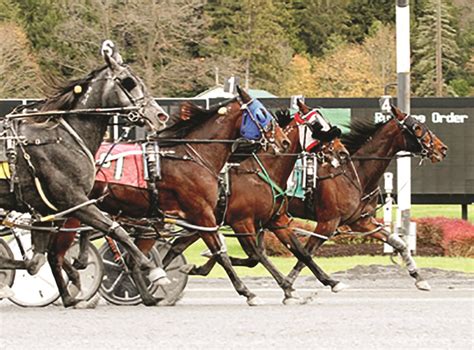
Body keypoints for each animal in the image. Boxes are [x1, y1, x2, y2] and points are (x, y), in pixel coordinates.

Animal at [0, 40, 170, 306]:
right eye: (128, 81)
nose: (160, 115)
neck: (63, 137)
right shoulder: (75, 201)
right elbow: (116, 229)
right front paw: (150, 267)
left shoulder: (47, 210)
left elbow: (37, 261)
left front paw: (73, 286)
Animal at [286, 105, 448, 292]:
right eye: (417, 127)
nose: (442, 148)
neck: (354, 174)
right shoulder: (327, 223)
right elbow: (305, 253)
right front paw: (290, 281)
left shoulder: (361, 221)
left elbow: (398, 242)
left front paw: (419, 277)